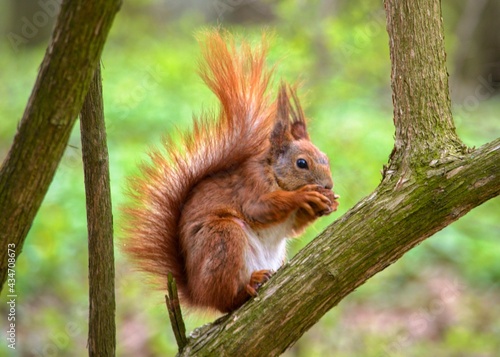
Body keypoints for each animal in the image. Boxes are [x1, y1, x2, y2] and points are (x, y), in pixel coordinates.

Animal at [122, 30, 338, 312]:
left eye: (326, 158)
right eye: (302, 163)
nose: (328, 186)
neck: (272, 173)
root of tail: (198, 293)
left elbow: (294, 228)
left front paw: (330, 202)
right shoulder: (250, 186)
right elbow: (259, 208)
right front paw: (303, 196)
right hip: (224, 237)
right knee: (226, 301)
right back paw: (246, 287)